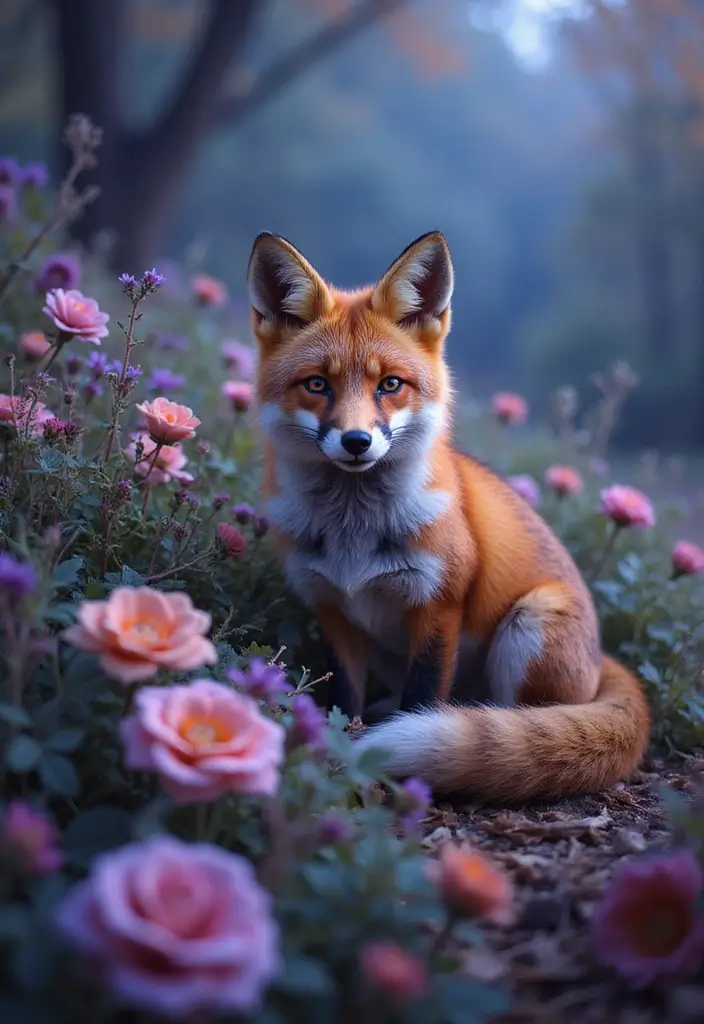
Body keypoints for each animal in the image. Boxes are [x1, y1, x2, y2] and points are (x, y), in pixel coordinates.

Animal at [245, 229, 651, 803]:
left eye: (390, 385)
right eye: (317, 384)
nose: (356, 441)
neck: (353, 536)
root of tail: (602, 660)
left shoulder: (438, 605)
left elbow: (422, 701)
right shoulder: (332, 609)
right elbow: (344, 698)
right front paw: (341, 742)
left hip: (527, 627)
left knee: (514, 720)